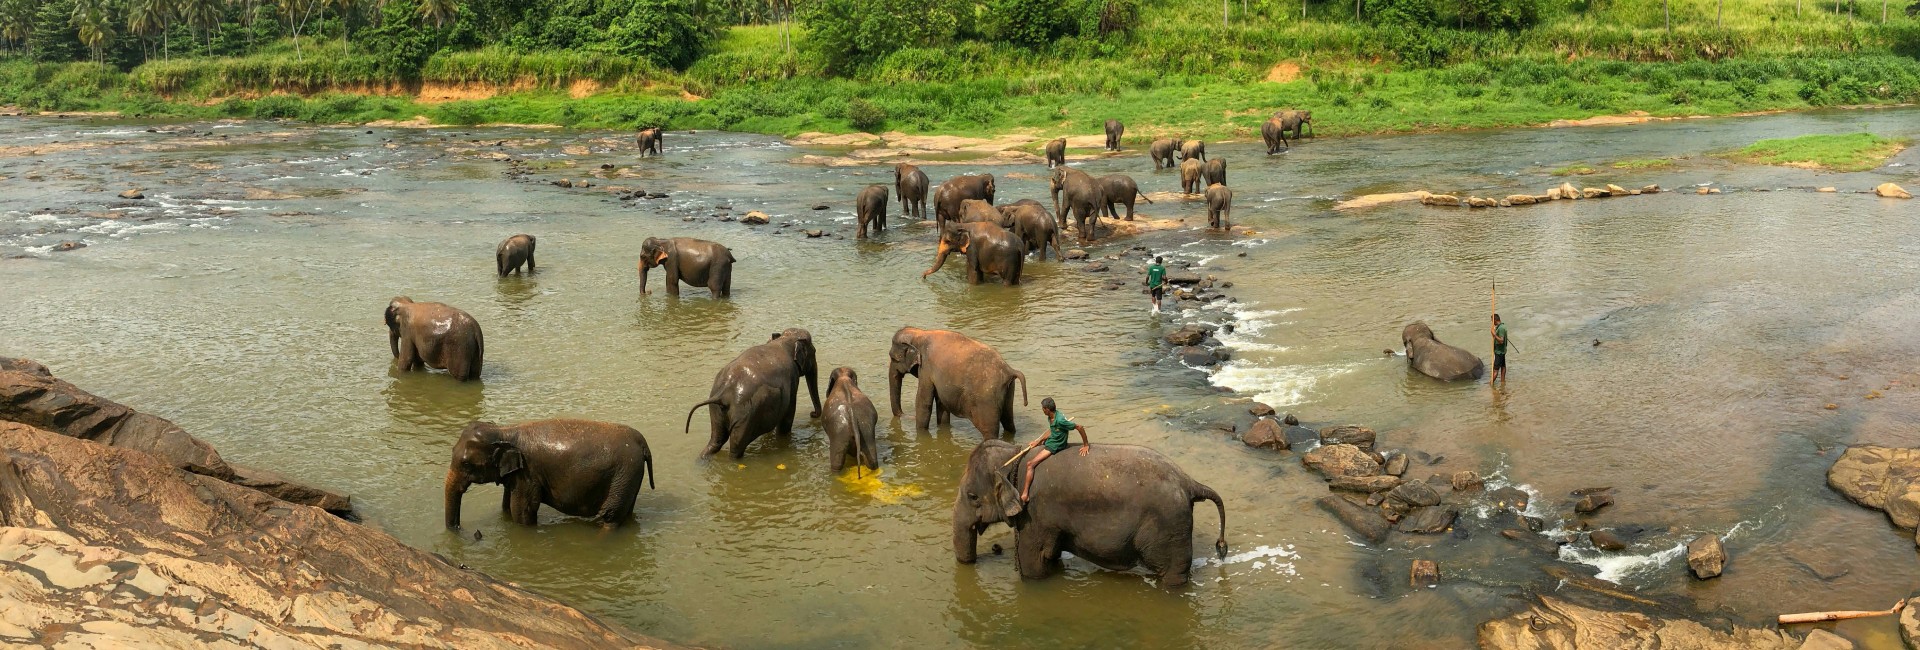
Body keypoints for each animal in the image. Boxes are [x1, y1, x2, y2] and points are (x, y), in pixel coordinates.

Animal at [444, 419, 653, 530]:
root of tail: (642, 441)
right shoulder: (517, 475)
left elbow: (522, 512)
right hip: (630, 477)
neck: (504, 431)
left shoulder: (528, 474)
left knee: (610, 517)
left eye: (466, 464)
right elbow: (506, 506)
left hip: (623, 475)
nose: (458, 528)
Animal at [686, 328, 821, 459]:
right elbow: (788, 416)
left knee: (716, 440)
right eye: (814, 351)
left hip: (717, 410)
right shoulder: (793, 378)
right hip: (745, 415)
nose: (812, 414)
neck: (785, 338)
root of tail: (723, 392)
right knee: (736, 447)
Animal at [888, 327, 1028, 437]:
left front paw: (921, 434)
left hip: (987, 399)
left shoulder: (926, 368)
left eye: (893, 358)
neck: (919, 333)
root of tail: (1009, 370)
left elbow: (923, 402)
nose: (906, 416)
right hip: (1008, 391)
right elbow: (941, 404)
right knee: (1009, 422)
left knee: (990, 431)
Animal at [952, 440, 1228, 587]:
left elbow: (1034, 561)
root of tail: (1189, 483)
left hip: (1169, 527)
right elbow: (1049, 556)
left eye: (972, 496)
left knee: (1172, 573)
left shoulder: (1035, 514)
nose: (993, 551)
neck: (1015, 454)